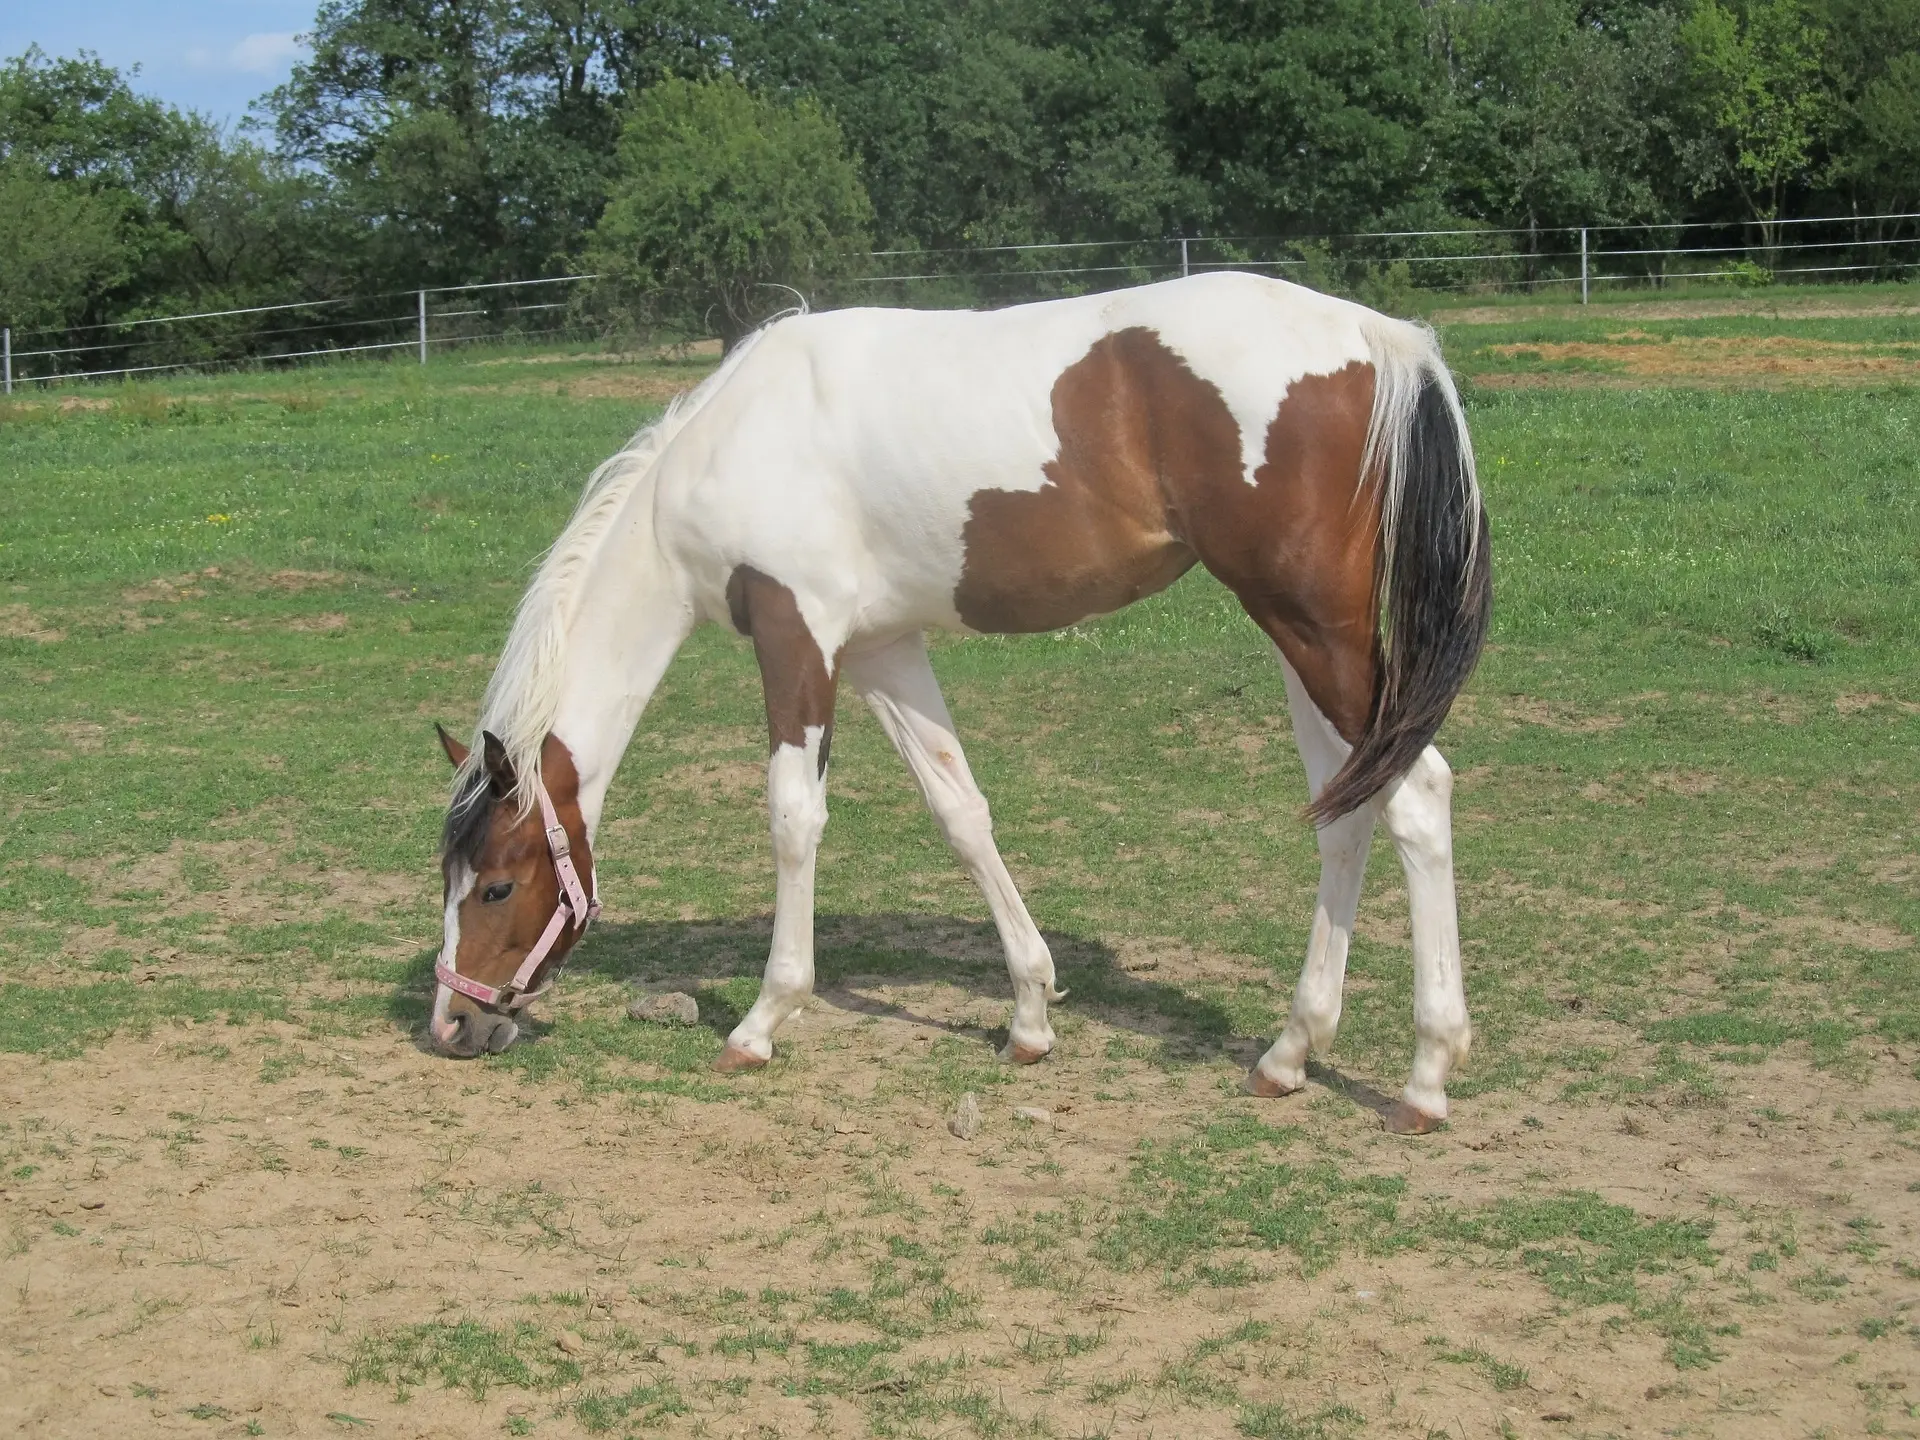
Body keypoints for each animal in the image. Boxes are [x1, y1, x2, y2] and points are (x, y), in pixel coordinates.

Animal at [428, 272, 1489, 1136]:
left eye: (497, 886)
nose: (454, 1024)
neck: (734, 443)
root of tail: (1381, 337)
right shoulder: (881, 648)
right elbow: (960, 810)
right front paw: (1029, 1015)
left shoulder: (797, 638)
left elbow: (793, 819)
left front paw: (763, 1021)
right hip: (1298, 634)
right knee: (1347, 810)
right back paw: (1290, 1052)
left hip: (1313, 626)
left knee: (1418, 795)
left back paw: (1425, 1079)